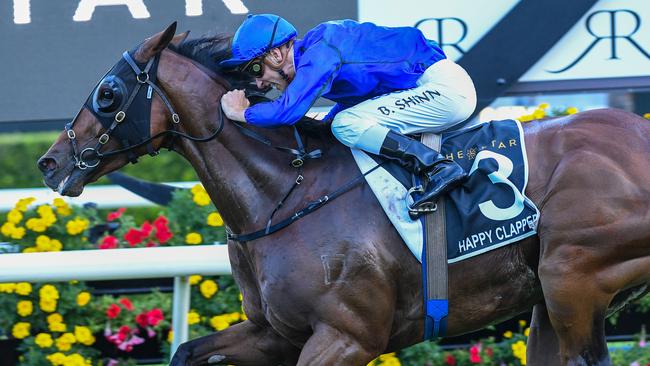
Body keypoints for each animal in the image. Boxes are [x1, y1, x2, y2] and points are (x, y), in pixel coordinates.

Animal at [39, 22, 648, 366]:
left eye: (108, 92)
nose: (50, 163)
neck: (285, 193)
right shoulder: (276, 332)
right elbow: (187, 351)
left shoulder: (348, 336)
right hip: (550, 296)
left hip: (572, 277)